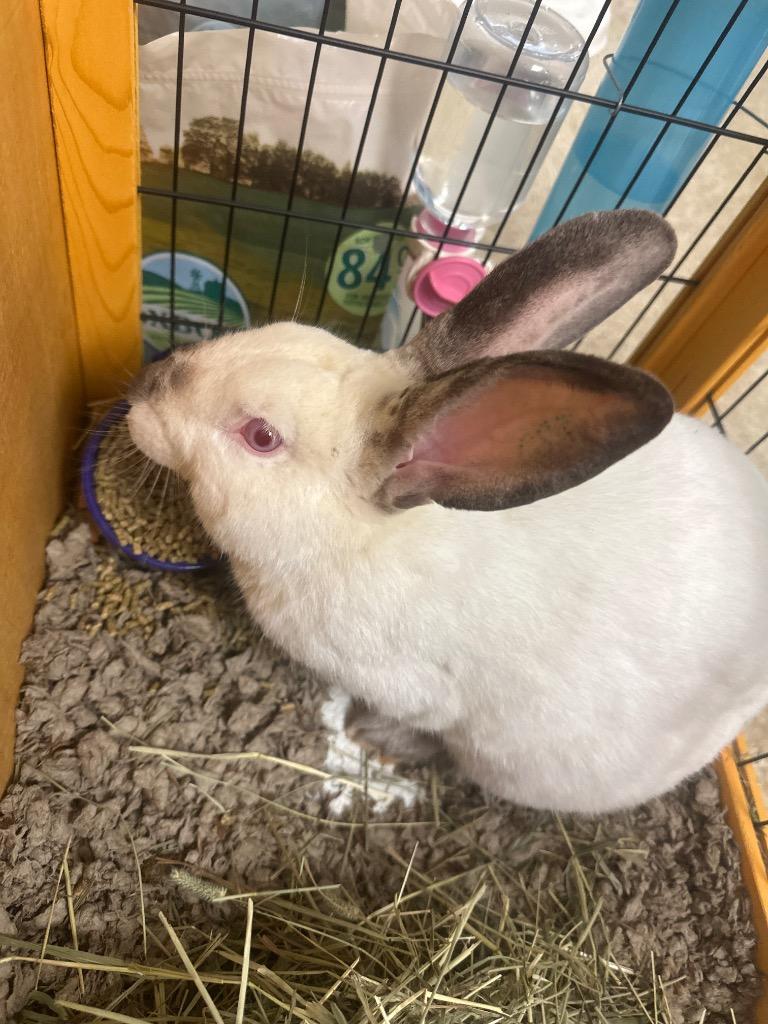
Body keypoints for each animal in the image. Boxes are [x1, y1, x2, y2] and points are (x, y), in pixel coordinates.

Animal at [127, 209, 768, 814]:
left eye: (261, 436)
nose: (144, 386)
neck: (357, 538)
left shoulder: (420, 692)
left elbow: (423, 726)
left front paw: (370, 732)